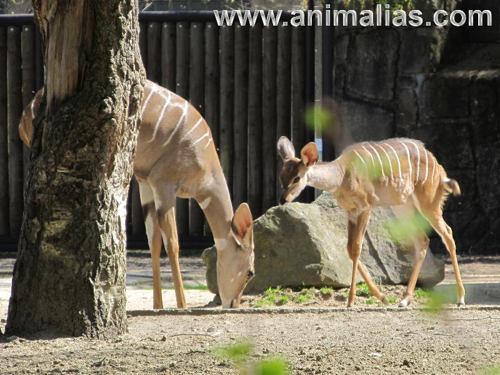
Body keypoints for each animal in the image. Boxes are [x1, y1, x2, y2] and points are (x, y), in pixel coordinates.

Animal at [20, 81, 256, 310]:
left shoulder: (146, 182)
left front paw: (158, 305)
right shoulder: (164, 183)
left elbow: (154, 241)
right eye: (250, 272)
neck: (205, 167)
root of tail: (27, 112)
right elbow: (172, 242)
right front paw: (182, 305)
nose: (233, 304)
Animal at [278, 137, 464, 306]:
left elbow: (357, 247)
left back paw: (460, 298)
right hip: (402, 206)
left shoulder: (366, 207)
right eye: (281, 177)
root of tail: (440, 170)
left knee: (447, 233)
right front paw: (382, 297)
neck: (341, 175)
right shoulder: (350, 212)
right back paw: (405, 299)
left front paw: (351, 300)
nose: (283, 200)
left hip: (428, 201)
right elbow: (349, 248)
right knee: (422, 240)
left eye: (297, 178)